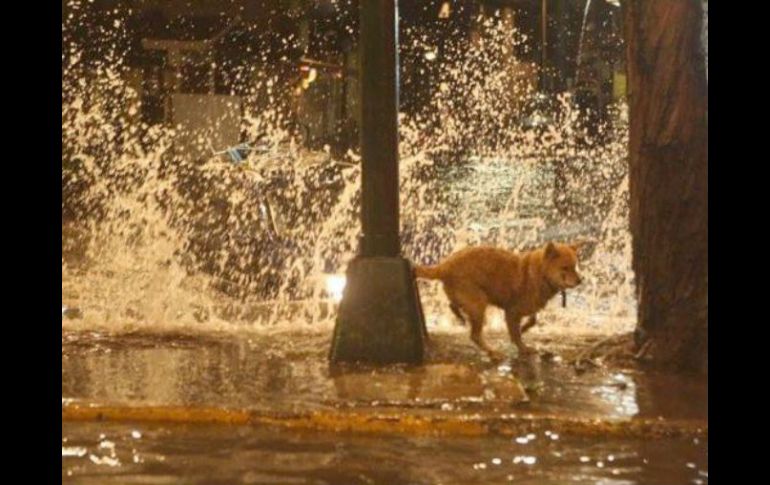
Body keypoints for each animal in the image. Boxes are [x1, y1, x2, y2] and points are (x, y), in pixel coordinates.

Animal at [415, 242, 583, 360]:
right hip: (479, 304)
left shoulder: (528, 307)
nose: (580, 280)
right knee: (475, 335)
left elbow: (532, 319)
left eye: (575, 266)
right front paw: (523, 347)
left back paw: (461, 317)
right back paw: (493, 352)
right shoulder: (511, 311)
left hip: (468, 300)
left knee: (453, 305)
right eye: (565, 268)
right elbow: (516, 334)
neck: (540, 274)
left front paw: (524, 328)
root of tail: (444, 265)